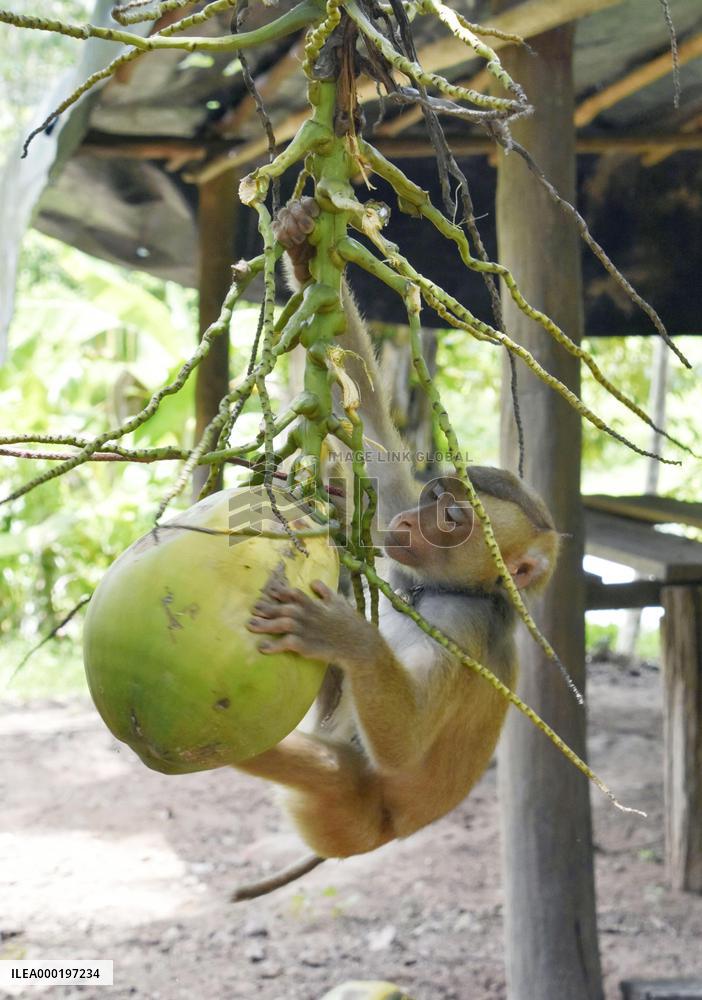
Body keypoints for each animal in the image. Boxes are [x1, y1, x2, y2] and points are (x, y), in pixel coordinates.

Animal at [237, 197, 560, 860]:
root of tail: (381, 832)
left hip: (345, 808)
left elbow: (404, 744)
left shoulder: (463, 630)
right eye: (434, 496)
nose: (414, 521)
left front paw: (344, 635)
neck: (432, 591)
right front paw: (305, 242)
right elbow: (374, 431)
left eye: (453, 521)